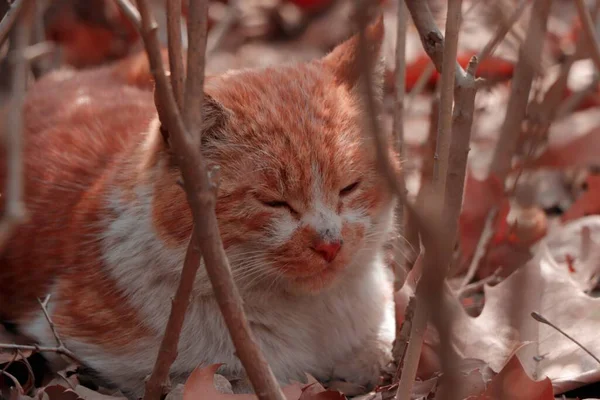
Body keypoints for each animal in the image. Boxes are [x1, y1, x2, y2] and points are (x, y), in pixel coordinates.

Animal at [2, 14, 400, 396]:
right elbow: (227, 381)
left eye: (348, 188)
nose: (330, 244)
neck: (311, 316)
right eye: (274, 201)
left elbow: (379, 349)